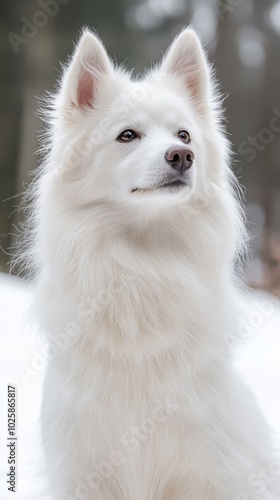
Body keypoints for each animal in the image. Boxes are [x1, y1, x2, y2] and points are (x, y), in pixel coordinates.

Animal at [25, 28, 278, 500]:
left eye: (184, 134)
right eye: (128, 135)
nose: (181, 156)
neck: (144, 263)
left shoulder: (205, 470)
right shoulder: (83, 470)